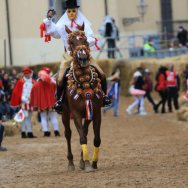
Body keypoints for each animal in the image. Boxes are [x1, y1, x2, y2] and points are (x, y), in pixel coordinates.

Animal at [61, 23, 103, 172]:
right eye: (72, 42)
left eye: (85, 40)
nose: (84, 57)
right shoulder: (77, 114)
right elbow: (82, 138)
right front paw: (87, 164)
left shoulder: (95, 112)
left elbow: (95, 138)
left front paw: (92, 162)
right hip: (65, 113)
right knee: (68, 133)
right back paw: (71, 163)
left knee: (84, 131)